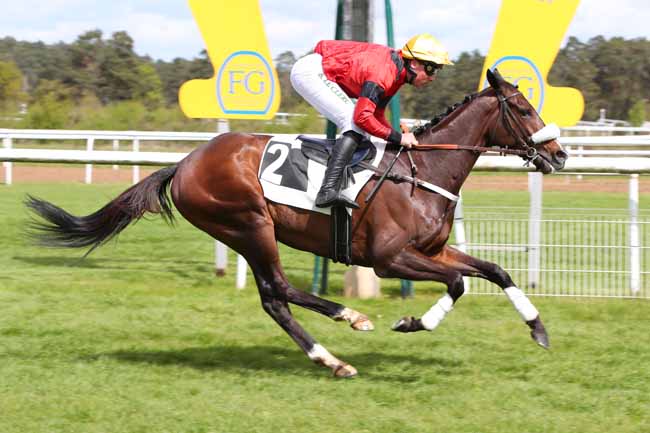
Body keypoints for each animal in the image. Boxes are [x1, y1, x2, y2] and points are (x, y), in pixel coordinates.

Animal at [26, 69, 567, 377]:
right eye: (523, 108)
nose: (559, 155)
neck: (423, 172)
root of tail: (183, 164)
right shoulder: (390, 259)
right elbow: (458, 284)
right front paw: (412, 321)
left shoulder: (431, 250)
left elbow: (495, 271)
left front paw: (539, 329)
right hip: (248, 224)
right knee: (277, 293)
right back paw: (346, 328)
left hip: (246, 231)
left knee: (276, 296)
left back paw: (336, 348)